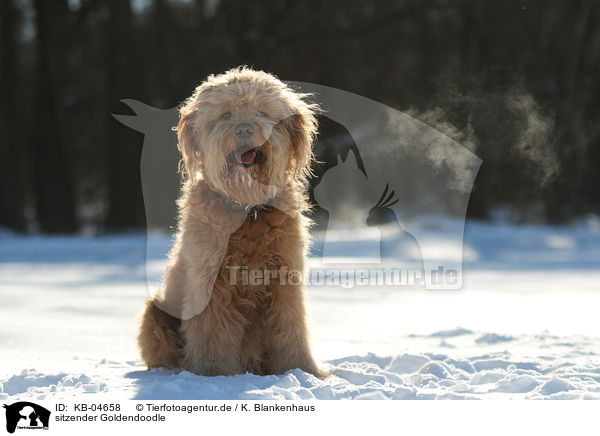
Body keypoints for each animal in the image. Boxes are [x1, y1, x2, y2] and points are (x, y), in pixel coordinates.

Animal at [137, 66, 324, 376]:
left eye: (262, 112)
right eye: (225, 114)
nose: (245, 129)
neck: (247, 209)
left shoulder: (285, 281)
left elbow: (291, 328)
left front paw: (301, 369)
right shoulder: (211, 285)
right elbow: (211, 333)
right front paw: (213, 374)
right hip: (155, 314)